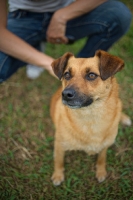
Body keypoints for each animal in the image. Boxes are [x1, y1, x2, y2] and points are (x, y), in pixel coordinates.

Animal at [50, 50, 132, 186]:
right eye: (67, 75)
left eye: (92, 75)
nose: (65, 94)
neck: (90, 117)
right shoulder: (59, 145)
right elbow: (58, 161)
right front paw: (58, 175)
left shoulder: (105, 145)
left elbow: (101, 158)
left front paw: (101, 171)